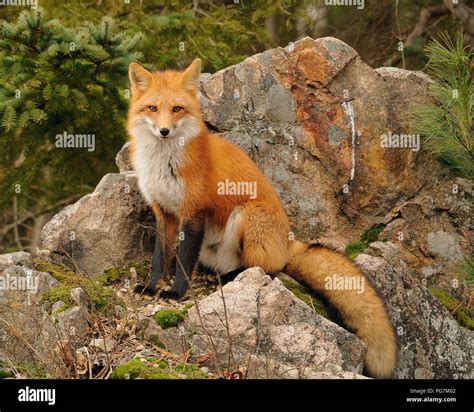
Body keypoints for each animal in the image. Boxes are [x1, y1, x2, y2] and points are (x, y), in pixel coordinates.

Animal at [126, 58, 396, 380]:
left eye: (177, 109)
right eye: (153, 108)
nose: (164, 131)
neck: (163, 162)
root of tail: (289, 240)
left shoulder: (194, 213)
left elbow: (183, 261)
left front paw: (177, 292)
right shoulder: (164, 212)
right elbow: (160, 257)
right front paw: (151, 287)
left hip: (247, 214)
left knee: (266, 268)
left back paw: (234, 278)